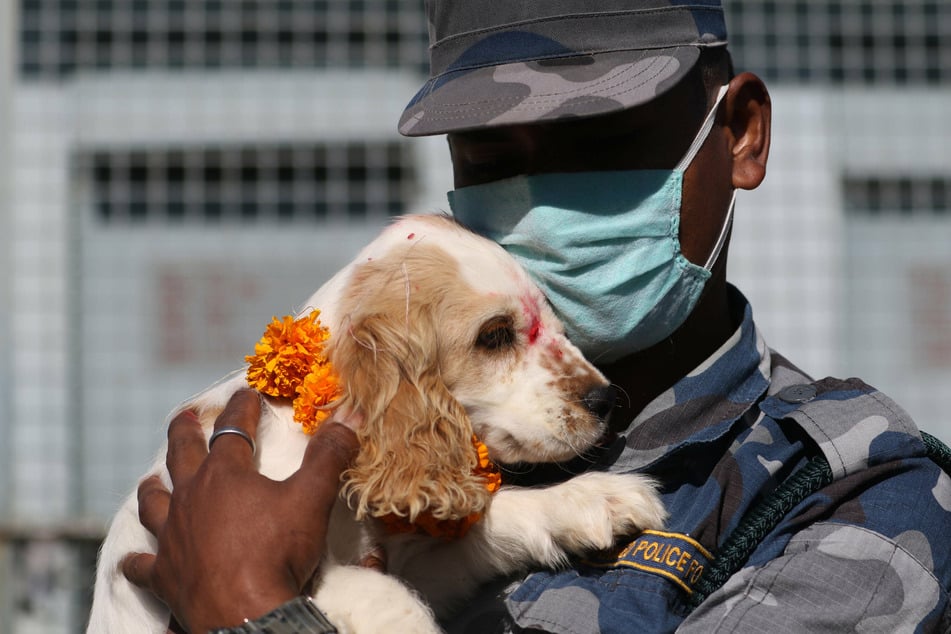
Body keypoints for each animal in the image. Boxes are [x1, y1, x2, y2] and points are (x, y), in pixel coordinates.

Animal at [91, 214, 668, 632]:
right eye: (496, 335)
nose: (607, 399)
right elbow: (381, 595)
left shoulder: (421, 563)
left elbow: (496, 518)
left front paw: (593, 499)